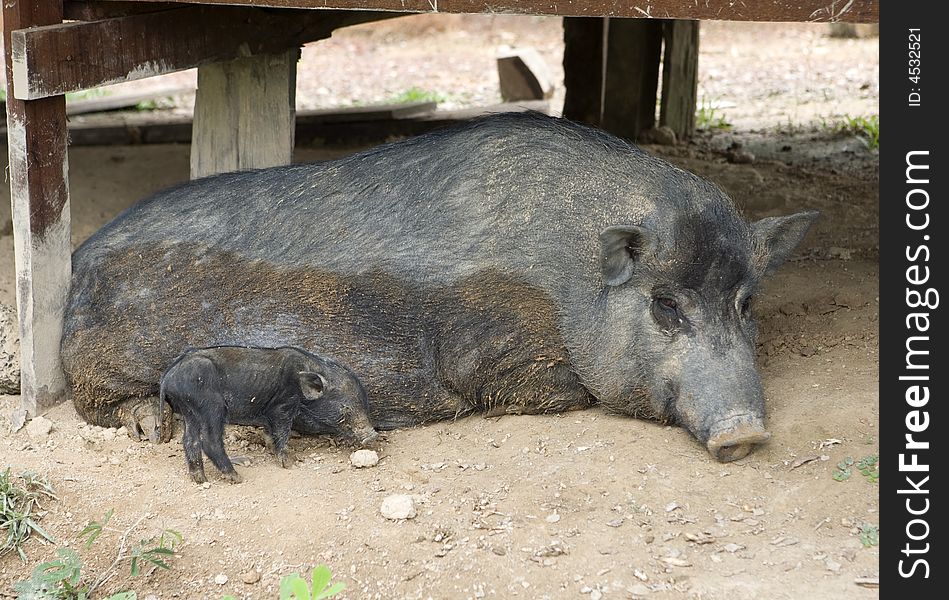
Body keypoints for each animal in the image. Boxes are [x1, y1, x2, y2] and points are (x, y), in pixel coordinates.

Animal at [61, 111, 816, 460]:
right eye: (664, 304)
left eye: (746, 303)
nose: (745, 433)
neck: (571, 285)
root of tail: (78, 257)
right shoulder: (493, 355)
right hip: (99, 358)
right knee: (96, 401)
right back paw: (149, 425)